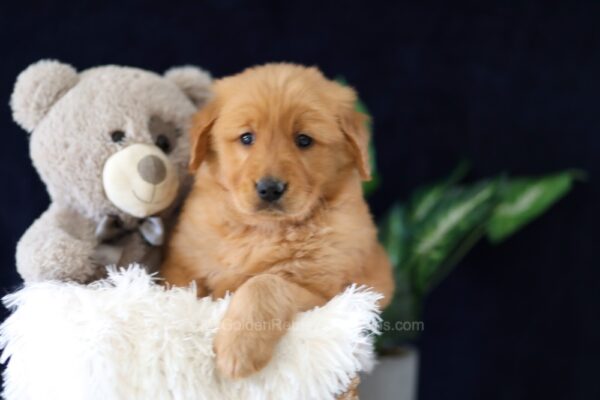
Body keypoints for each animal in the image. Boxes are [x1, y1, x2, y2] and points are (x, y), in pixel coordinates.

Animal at [161, 62, 394, 378]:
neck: (262, 231)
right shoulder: (182, 266)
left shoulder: (326, 292)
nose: (270, 189)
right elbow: (178, 293)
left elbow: (264, 283)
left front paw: (238, 349)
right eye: (247, 138)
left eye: (304, 140)